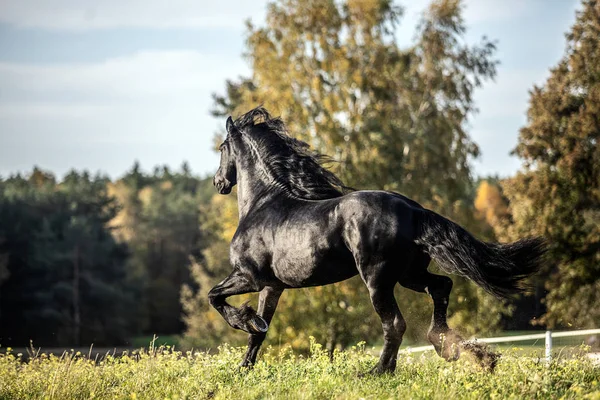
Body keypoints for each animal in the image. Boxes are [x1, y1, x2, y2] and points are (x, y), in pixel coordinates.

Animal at [209, 107, 548, 376]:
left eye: (222, 147)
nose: (218, 182)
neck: (262, 203)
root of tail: (414, 210)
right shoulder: (272, 286)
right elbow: (259, 332)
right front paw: (244, 365)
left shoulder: (250, 277)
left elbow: (215, 297)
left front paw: (244, 320)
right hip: (409, 274)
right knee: (441, 286)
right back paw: (451, 348)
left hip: (378, 279)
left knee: (395, 323)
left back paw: (378, 371)